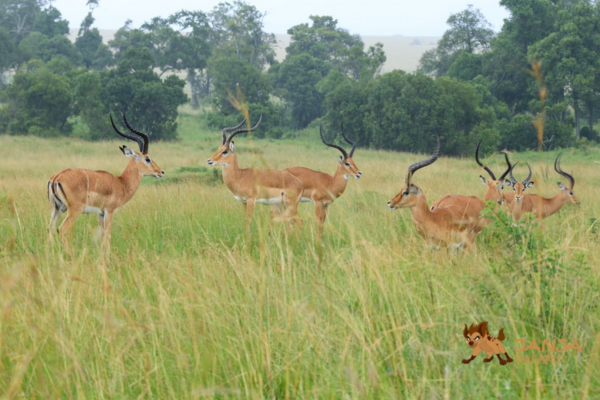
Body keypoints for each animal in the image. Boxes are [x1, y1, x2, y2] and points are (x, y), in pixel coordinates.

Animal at [48, 114, 164, 256]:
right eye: (148, 158)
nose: (161, 172)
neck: (121, 183)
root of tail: (57, 177)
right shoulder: (110, 211)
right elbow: (108, 236)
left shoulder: (100, 214)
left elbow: (103, 236)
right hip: (74, 210)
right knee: (62, 229)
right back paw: (70, 256)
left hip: (56, 209)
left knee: (50, 229)